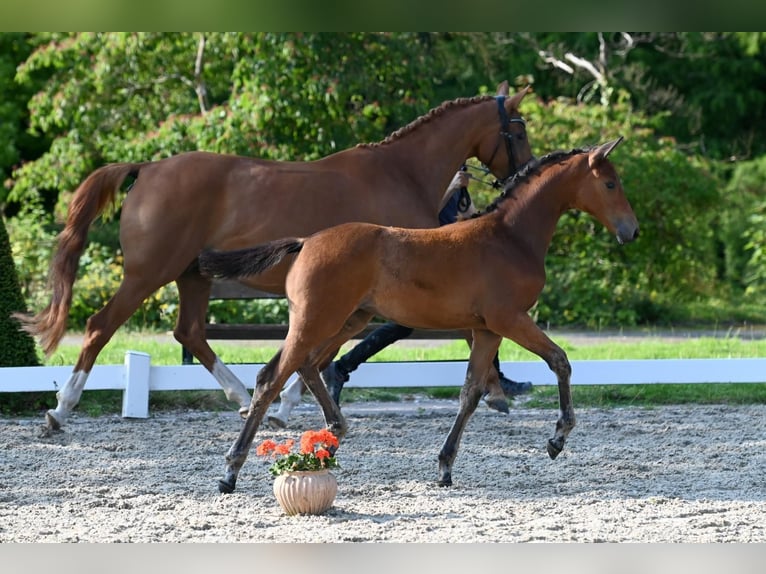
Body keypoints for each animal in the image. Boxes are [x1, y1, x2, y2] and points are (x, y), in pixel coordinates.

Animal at [16, 81, 536, 432]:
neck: (401, 174)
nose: (527, 173)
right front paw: (497, 391)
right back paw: (61, 409)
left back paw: (243, 397)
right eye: (519, 130)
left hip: (193, 275)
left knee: (190, 332)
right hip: (149, 273)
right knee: (101, 326)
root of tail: (148, 168)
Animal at [200, 137, 640, 492]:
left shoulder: (487, 330)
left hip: (346, 320)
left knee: (306, 366)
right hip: (317, 321)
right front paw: (557, 439)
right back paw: (230, 471)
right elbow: (560, 360)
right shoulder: (510, 319)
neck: (509, 238)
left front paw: (445, 468)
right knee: (272, 376)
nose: (631, 231)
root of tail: (307, 241)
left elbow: (471, 392)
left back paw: (333, 434)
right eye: (610, 183)